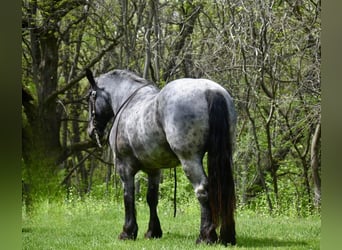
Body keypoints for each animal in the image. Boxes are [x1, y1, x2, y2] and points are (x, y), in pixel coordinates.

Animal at [84, 68, 236, 246]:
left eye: (89, 97)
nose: (91, 131)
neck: (128, 102)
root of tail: (210, 90)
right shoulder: (154, 169)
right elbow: (152, 198)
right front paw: (153, 231)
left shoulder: (124, 167)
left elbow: (128, 196)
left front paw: (128, 232)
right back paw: (227, 236)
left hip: (190, 160)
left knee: (203, 190)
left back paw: (206, 236)